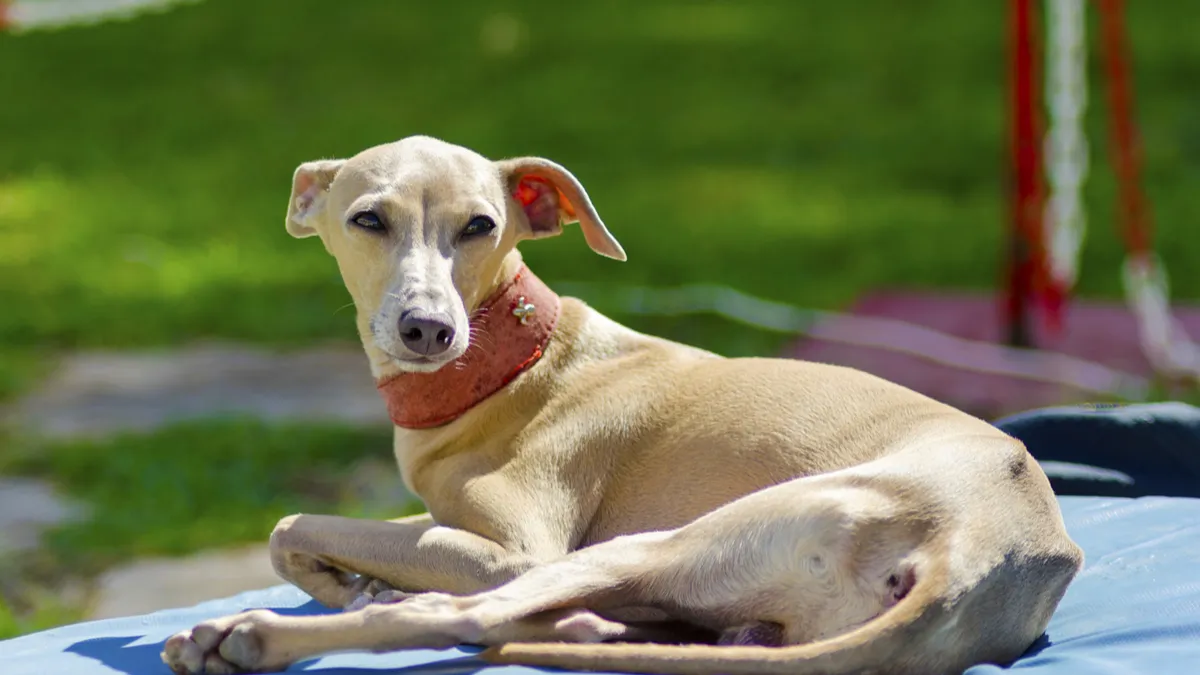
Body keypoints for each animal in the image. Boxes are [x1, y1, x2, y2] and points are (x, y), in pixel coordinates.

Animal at [162, 136, 1089, 672]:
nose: (428, 329)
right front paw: (350, 579)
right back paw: (585, 632)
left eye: (479, 225)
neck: (515, 366)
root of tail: (978, 556)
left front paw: (345, 584)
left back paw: (248, 636)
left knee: (465, 616)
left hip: (662, 542)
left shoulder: (516, 549)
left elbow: (293, 521)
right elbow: (304, 533)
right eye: (366, 219)